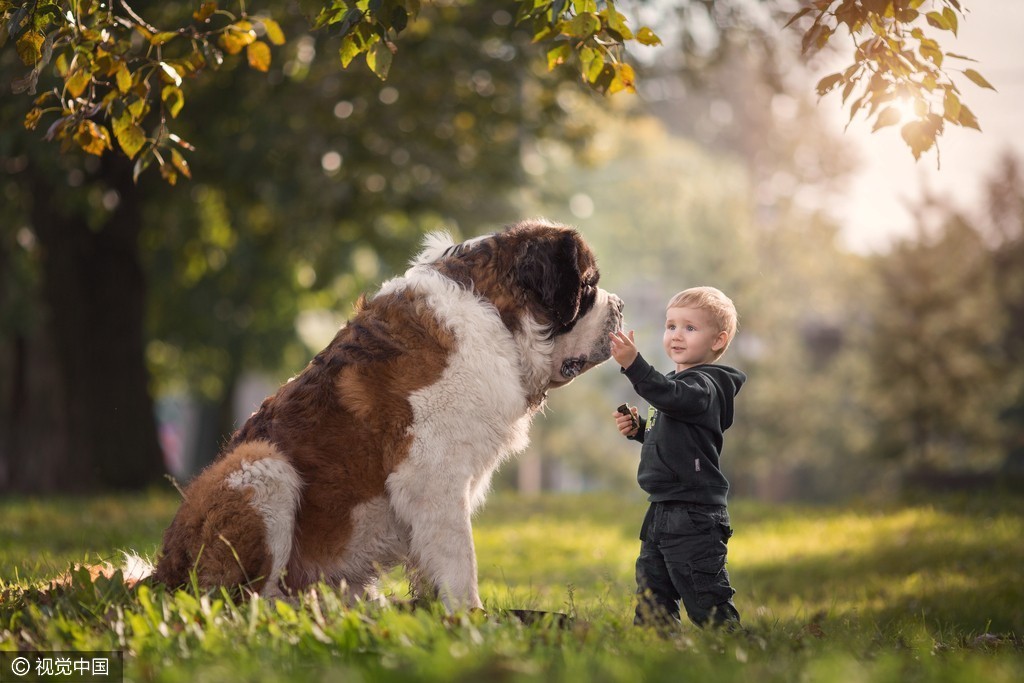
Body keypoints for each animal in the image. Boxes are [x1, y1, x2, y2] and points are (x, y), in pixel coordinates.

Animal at [151, 219, 622, 610]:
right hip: (262, 466)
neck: (497, 316)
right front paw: (472, 622)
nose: (619, 305)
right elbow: (460, 559)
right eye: (589, 287)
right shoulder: (432, 478)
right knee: (239, 601)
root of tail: (161, 573)